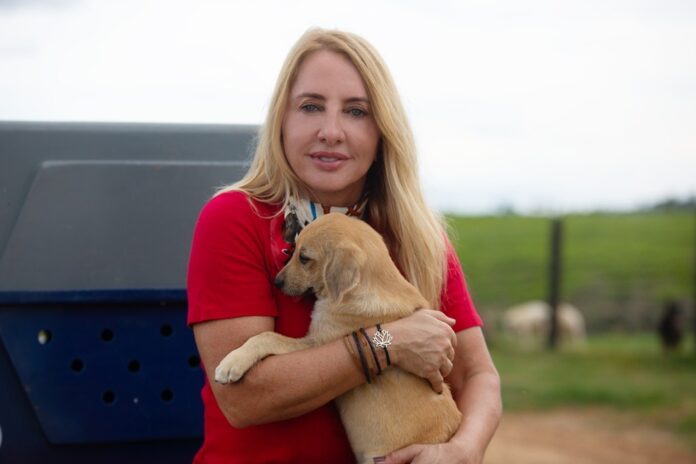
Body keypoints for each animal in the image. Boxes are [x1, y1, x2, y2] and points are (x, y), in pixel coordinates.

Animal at [214, 213, 461, 463]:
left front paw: (231, 364)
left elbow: (267, 337)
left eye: (304, 258)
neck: (369, 285)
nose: (277, 282)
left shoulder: (316, 343)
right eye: (293, 249)